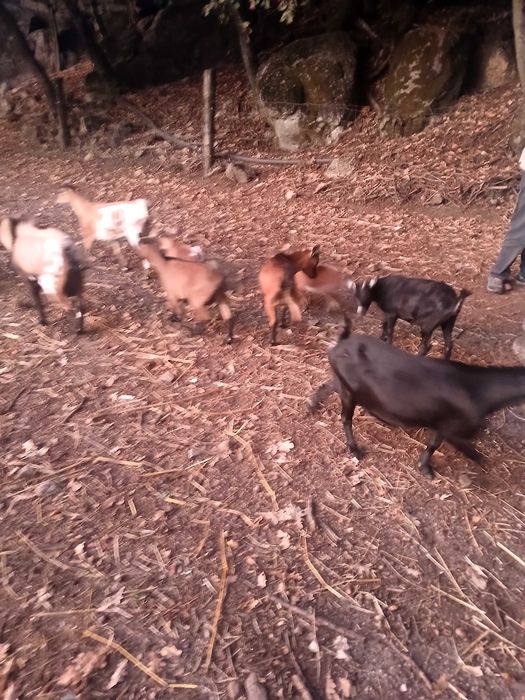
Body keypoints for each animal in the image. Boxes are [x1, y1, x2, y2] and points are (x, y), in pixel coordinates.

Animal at [308, 326, 525, 478]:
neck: (479, 390)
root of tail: (339, 344)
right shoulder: (451, 427)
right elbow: (437, 444)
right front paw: (427, 468)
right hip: (349, 392)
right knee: (345, 417)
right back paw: (355, 449)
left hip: (344, 384)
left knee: (328, 386)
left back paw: (311, 405)